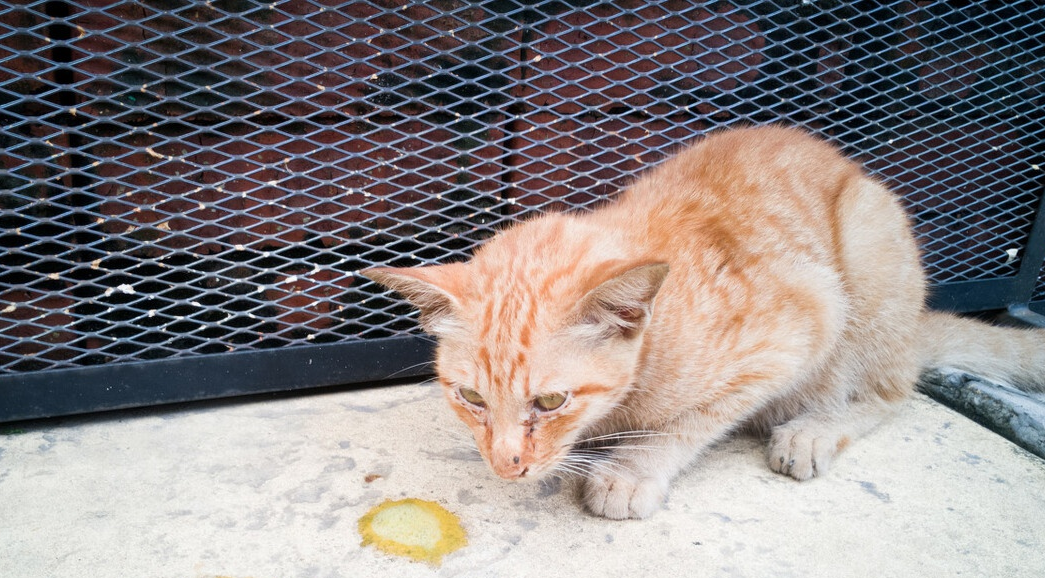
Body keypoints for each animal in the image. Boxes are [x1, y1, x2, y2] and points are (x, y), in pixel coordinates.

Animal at [361, 124, 1045, 518]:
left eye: (551, 401)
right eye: (472, 397)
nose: (506, 464)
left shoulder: (803, 323)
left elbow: (689, 425)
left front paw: (632, 470)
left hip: (868, 252)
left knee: (890, 392)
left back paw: (815, 429)